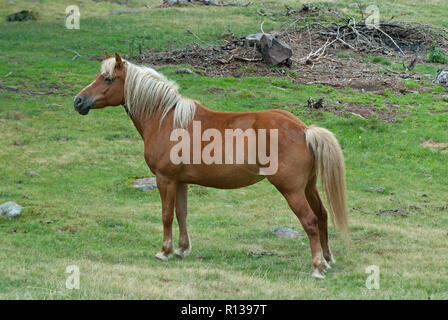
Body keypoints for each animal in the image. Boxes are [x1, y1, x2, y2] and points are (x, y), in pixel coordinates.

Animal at [73, 52, 348, 278]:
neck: (166, 119)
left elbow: (166, 215)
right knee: (322, 216)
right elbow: (181, 214)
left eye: (108, 79)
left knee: (310, 221)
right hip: (308, 187)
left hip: (291, 190)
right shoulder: (180, 182)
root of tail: (304, 130)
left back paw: (317, 267)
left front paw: (164, 251)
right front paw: (181, 249)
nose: (78, 101)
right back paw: (327, 259)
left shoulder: (165, 179)